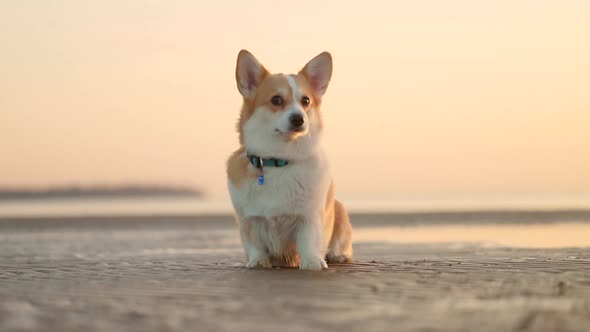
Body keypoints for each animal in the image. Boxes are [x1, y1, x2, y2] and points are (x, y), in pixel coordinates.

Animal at [229, 50, 354, 272]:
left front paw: (312, 262)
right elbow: (255, 244)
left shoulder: (309, 216)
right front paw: (258, 262)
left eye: (306, 101)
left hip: (339, 211)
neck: (280, 159)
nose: (298, 119)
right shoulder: (248, 220)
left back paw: (337, 256)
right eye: (276, 100)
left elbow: (308, 240)